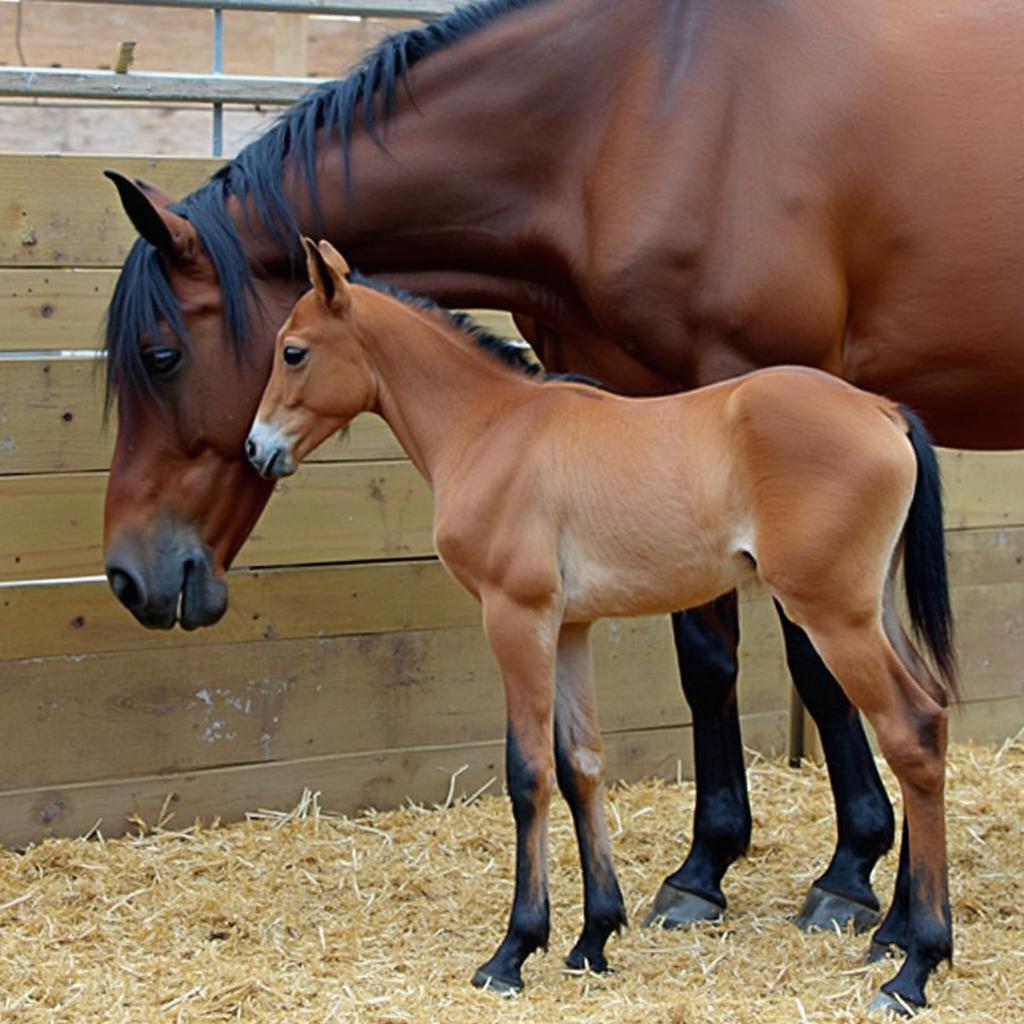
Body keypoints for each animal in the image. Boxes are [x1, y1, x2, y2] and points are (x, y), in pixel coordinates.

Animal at [99, 0, 1019, 958]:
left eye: (161, 356)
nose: (131, 576)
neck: (634, 108)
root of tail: (883, 414)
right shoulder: (599, 514)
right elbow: (652, 702)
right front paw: (662, 895)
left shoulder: (537, 595)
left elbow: (553, 757)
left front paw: (837, 876)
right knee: (927, 708)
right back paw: (906, 929)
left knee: (907, 717)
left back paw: (908, 940)